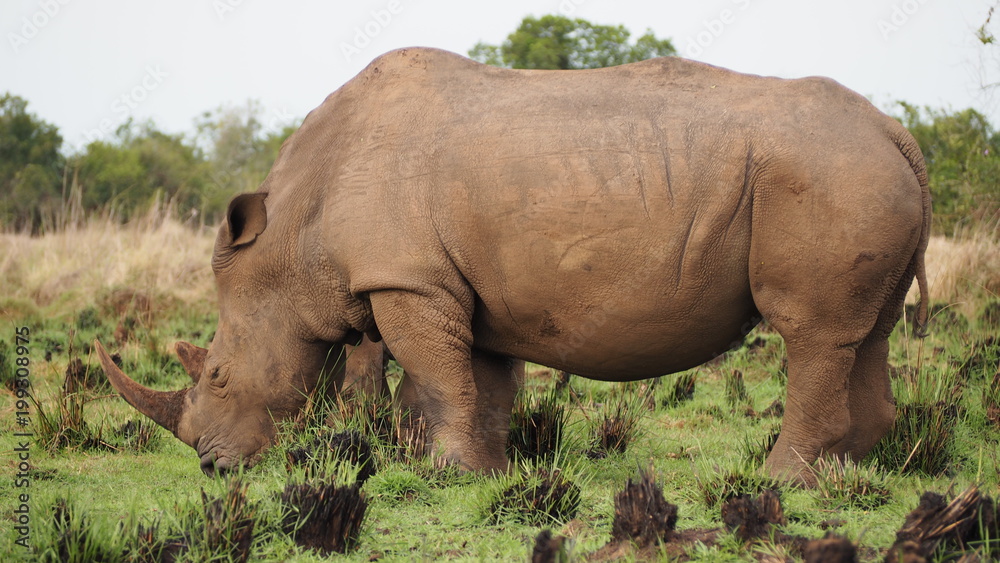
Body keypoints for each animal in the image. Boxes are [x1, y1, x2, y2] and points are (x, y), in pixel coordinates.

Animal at [96, 48, 930, 484]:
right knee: (868, 332)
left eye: (217, 376)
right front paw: (484, 473)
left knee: (813, 333)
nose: (212, 466)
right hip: (856, 174)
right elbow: (482, 383)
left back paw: (782, 479)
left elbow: (437, 378)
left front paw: (444, 472)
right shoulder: (463, 285)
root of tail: (896, 131)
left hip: (824, 175)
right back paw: (850, 472)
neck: (291, 238)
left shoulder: (407, 278)